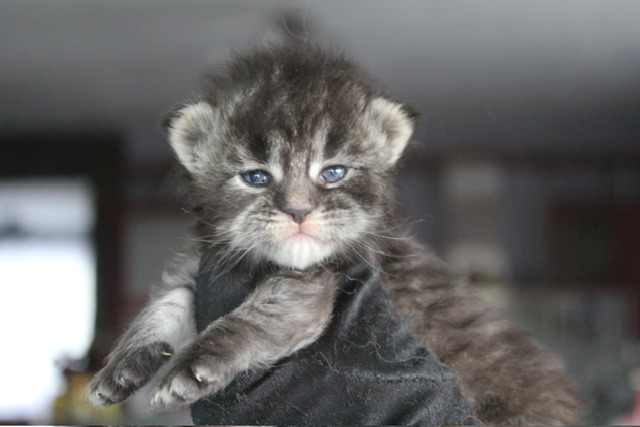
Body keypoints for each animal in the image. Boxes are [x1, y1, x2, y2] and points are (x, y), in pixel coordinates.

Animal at [87, 43, 583, 425]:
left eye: (333, 172)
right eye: (256, 178)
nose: (299, 211)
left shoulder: (316, 283)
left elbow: (251, 320)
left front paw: (193, 366)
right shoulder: (204, 261)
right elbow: (166, 302)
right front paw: (122, 364)